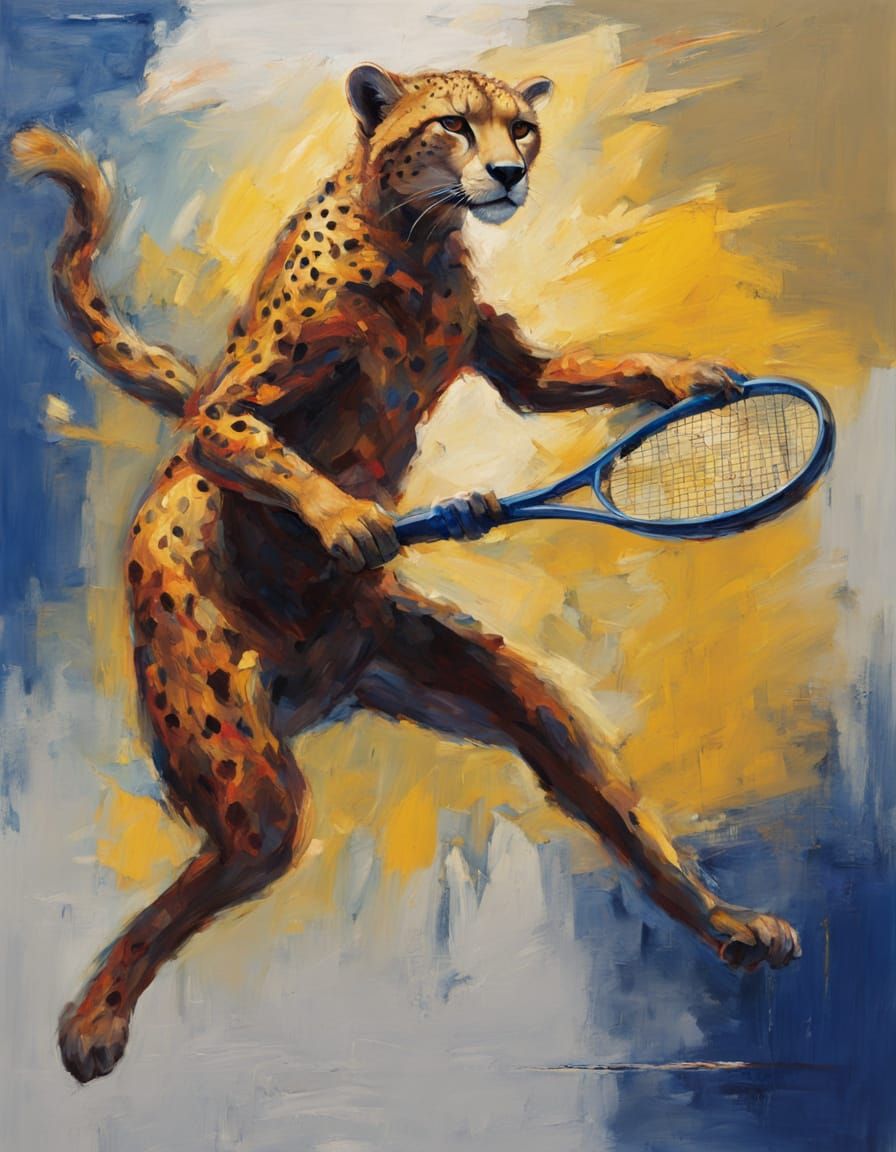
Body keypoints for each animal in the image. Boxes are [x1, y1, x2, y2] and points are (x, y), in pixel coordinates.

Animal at [12, 62, 800, 1084]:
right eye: (454, 126)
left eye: (521, 128)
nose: (508, 173)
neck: (415, 238)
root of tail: (309, 691)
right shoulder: (229, 409)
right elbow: (241, 434)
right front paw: (348, 520)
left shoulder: (509, 362)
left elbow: (555, 375)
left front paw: (684, 379)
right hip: (240, 762)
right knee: (233, 853)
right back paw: (94, 1018)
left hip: (442, 672)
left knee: (577, 757)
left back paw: (726, 922)